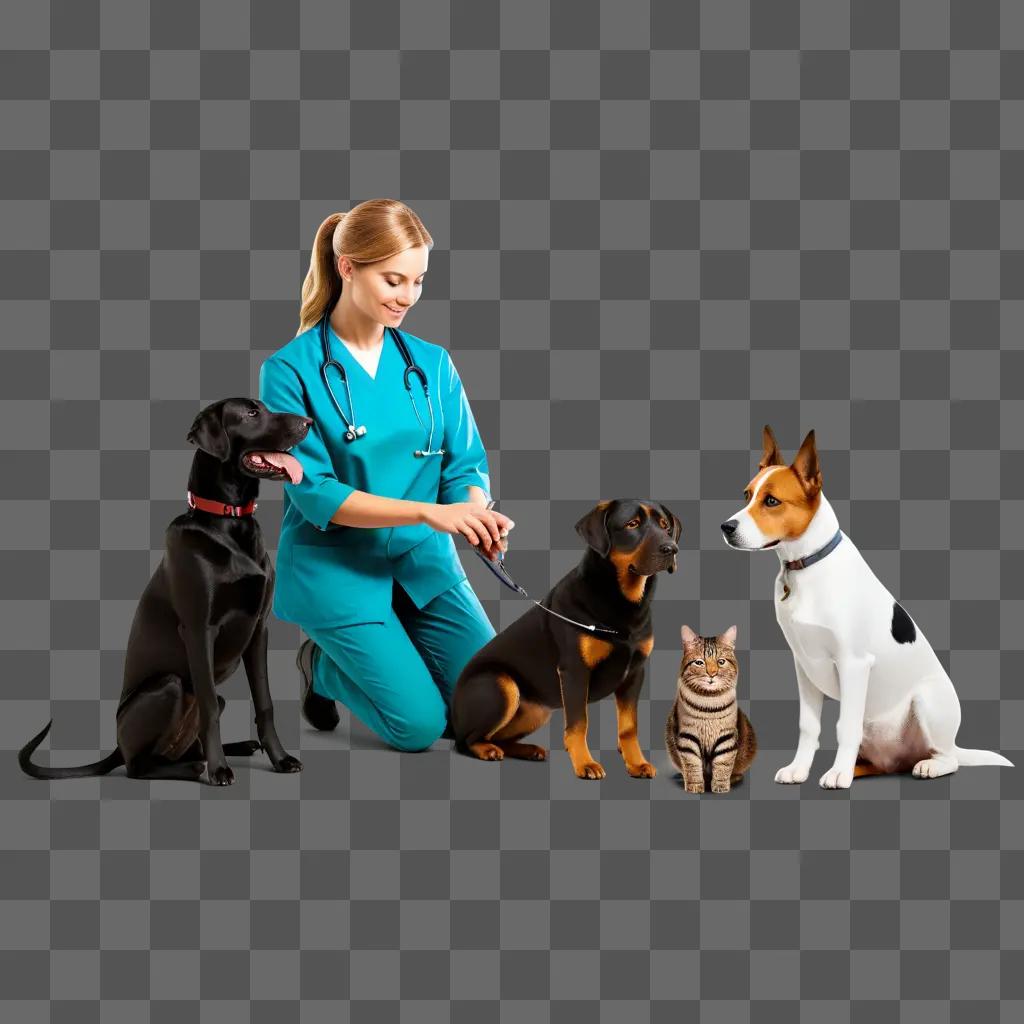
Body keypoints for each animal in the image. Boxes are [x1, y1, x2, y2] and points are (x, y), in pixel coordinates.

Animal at [18, 397, 307, 782]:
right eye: (250, 414)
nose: (308, 422)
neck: (228, 520)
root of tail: (117, 747)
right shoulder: (199, 630)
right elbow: (209, 707)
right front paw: (219, 770)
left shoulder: (259, 629)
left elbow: (265, 703)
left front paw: (280, 758)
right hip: (167, 686)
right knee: (140, 766)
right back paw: (198, 766)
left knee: (186, 741)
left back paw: (237, 747)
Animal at [450, 499, 679, 778]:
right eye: (632, 524)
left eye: (665, 526)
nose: (672, 549)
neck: (623, 601)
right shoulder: (575, 671)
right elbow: (579, 724)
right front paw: (586, 764)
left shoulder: (635, 673)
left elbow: (628, 727)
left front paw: (636, 763)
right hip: (501, 684)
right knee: (466, 740)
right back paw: (486, 750)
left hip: (536, 710)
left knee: (498, 737)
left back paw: (528, 750)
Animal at [667, 622, 757, 790]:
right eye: (699, 662)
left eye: (721, 661)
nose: (712, 674)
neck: (708, 704)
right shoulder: (687, 736)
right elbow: (692, 764)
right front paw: (694, 786)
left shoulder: (726, 736)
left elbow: (723, 763)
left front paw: (721, 786)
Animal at [724, 428, 1011, 786]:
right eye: (747, 495)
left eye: (772, 501)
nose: (726, 528)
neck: (808, 564)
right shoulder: (803, 665)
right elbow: (809, 726)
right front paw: (799, 769)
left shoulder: (853, 663)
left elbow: (844, 726)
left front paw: (837, 776)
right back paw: (856, 769)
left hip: (928, 704)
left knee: (948, 758)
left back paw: (922, 766)